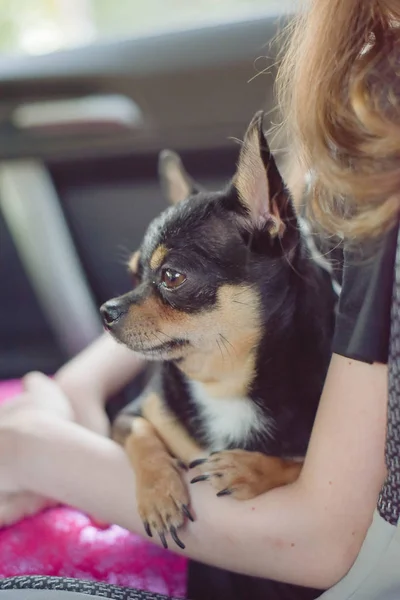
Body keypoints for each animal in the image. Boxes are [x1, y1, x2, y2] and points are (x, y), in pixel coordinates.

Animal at [101, 111, 336, 548]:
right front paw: (160, 495)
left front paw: (247, 468)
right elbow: (140, 433)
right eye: (134, 274)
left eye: (171, 277)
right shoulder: (127, 415)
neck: (224, 382)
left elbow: (295, 464)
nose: (106, 311)